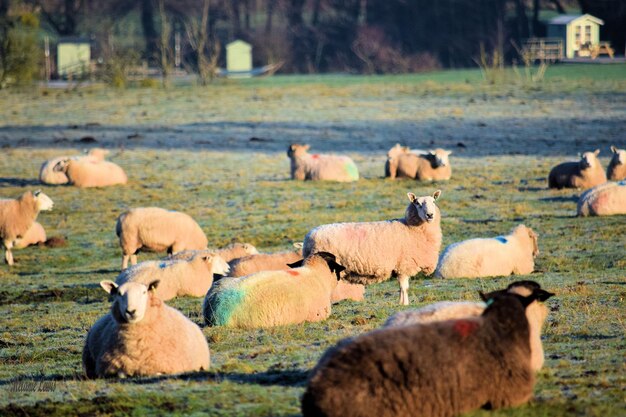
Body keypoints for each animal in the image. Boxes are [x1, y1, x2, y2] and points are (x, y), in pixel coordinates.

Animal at [81, 278, 210, 378]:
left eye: (144, 292)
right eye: (119, 293)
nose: (131, 311)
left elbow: (155, 373)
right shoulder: (110, 366)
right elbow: (121, 373)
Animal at [302, 190, 438, 304]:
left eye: (434, 201)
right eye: (417, 203)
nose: (430, 215)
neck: (410, 228)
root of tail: (309, 237)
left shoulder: (400, 267)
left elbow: (401, 288)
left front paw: (400, 303)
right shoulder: (404, 265)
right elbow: (404, 288)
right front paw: (404, 304)